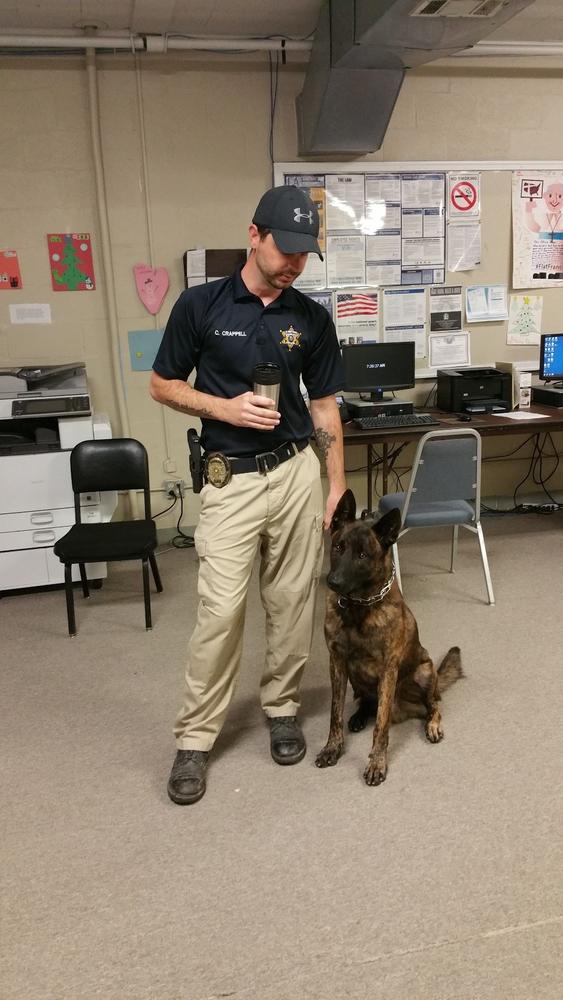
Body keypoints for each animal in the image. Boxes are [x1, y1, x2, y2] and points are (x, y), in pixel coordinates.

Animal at [318, 492, 462, 788]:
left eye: (362, 555)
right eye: (338, 547)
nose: (333, 582)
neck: (358, 608)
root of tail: (405, 709)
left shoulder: (388, 671)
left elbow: (381, 727)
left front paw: (377, 763)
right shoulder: (337, 663)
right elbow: (335, 714)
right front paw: (332, 748)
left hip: (424, 672)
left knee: (434, 705)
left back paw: (432, 724)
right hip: (356, 679)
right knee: (367, 702)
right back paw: (359, 716)